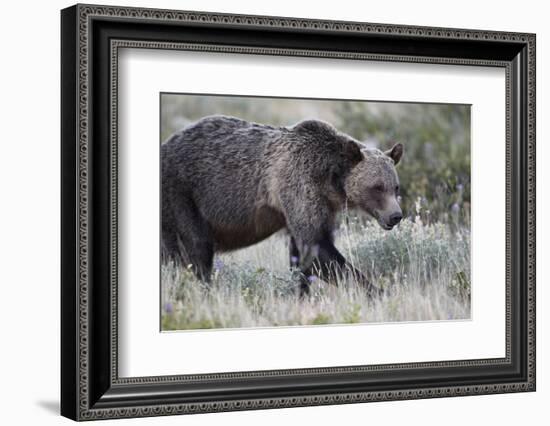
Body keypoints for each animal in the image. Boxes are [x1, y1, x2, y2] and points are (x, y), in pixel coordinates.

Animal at [162, 115, 404, 298]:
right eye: (377, 187)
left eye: (395, 187)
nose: (396, 216)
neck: (330, 180)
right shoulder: (298, 184)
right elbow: (316, 248)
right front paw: (380, 292)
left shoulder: (320, 206)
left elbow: (302, 255)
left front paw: (301, 294)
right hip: (183, 196)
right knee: (197, 249)